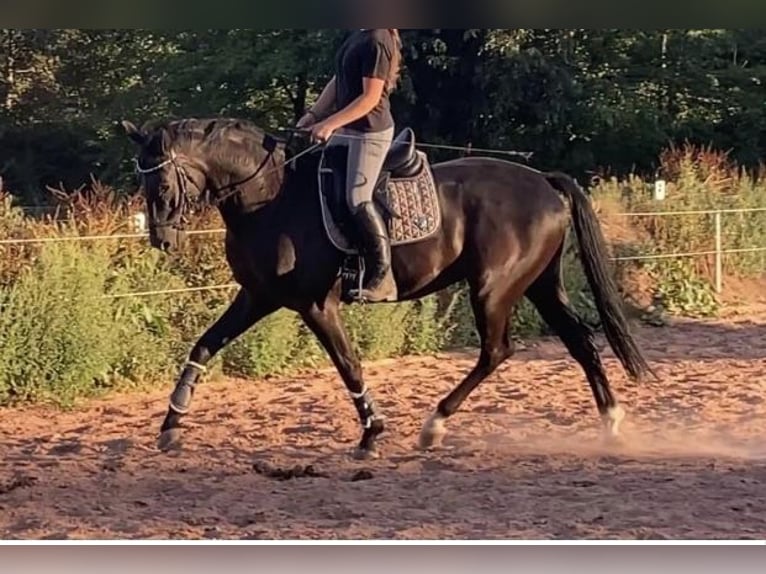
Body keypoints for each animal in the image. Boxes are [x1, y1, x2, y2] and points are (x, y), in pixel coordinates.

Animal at [119, 116, 654, 460]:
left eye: (161, 185)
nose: (162, 240)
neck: (269, 198)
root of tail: (542, 181)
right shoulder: (257, 297)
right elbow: (203, 346)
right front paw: (171, 426)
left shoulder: (316, 305)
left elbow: (349, 366)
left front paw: (371, 435)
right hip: (540, 285)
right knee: (580, 343)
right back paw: (611, 424)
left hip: (493, 288)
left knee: (497, 351)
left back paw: (433, 426)